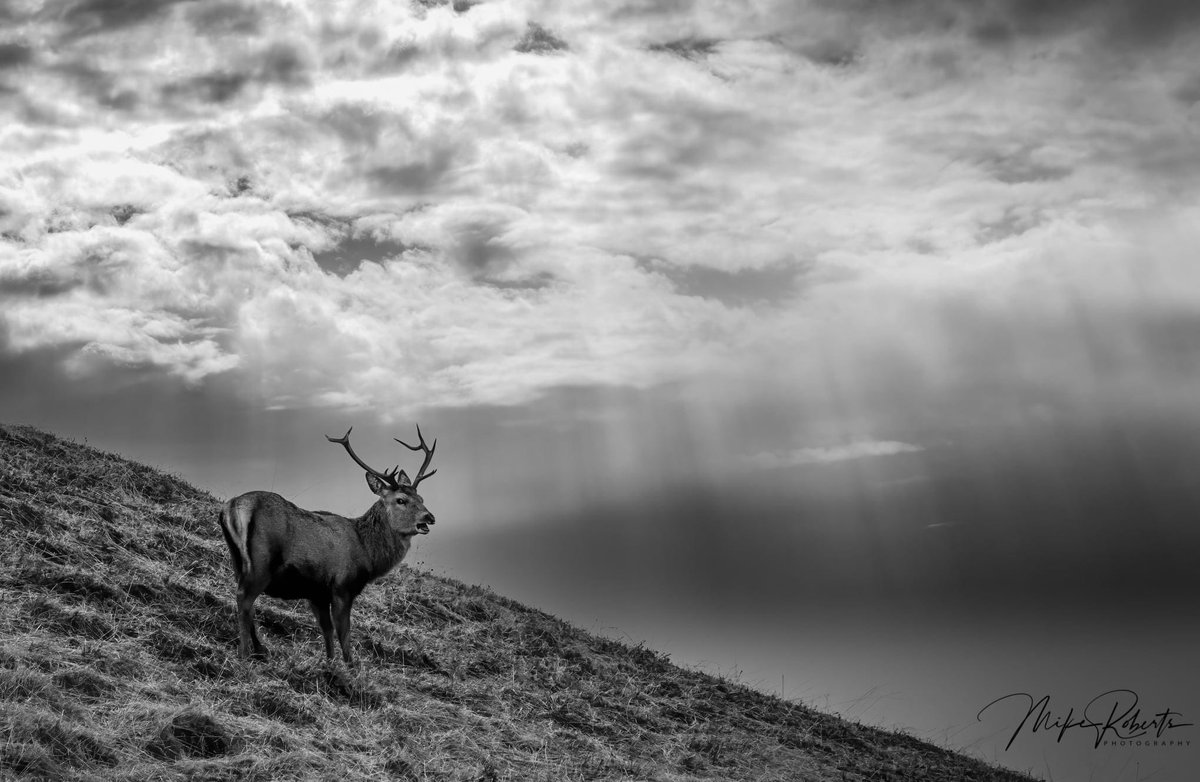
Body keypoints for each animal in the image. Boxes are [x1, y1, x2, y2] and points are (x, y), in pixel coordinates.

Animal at [217, 426, 437, 665]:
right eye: (400, 500)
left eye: (421, 498)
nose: (430, 517)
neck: (368, 554)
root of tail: (233, 507)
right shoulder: (342, 586)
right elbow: (344, 633)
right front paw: (350, 666)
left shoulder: (317, 593)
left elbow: (327, 630)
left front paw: (330, 663)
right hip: (262, 562)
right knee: (244, 599)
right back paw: (245, 653)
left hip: (237, 561)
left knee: (244, 600)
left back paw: (259, 649)